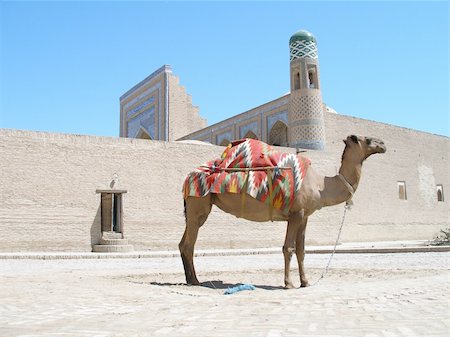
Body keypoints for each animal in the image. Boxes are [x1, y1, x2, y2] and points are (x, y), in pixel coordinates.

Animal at [179, 135, 386, 288]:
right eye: (368, 140)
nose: (383, 144)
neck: (322, 185)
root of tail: (187, 177)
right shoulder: (296, 213)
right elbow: (288, 248)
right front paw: (288, 284)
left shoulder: (305, 216)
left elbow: (302, 250)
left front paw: (305, 282)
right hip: (198, 204)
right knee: (189, 244)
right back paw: (195, 281)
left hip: (194, 209)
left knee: (183, 243)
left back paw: (190, 280)